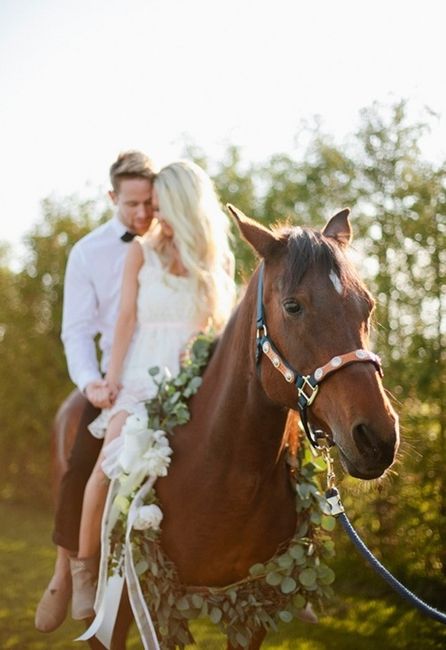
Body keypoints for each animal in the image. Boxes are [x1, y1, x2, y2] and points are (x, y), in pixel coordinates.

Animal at [54, 205, 398, 644]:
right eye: (293, 306)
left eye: (367, 306)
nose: (377, 437)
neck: (223, 471)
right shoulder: (159, 604)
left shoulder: (250, 606)